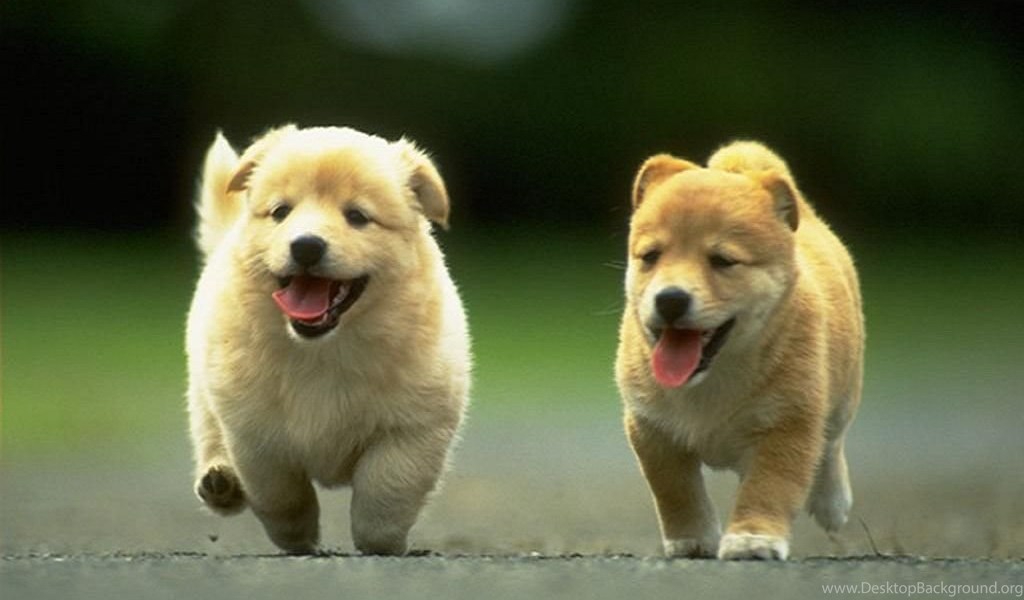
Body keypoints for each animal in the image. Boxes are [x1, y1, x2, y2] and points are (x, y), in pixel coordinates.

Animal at [185, 125, 471, 555]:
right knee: (208, 433)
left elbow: (386, 490)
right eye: (280, 212)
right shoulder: (254, 435)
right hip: (203, 391)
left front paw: (380, 542)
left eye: (357, 216)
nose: (305, 245)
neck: (322, 349)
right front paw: (297, 537)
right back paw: (221, 482)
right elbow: (281, 494)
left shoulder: (412, 430)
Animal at [615, 141, 863, 560]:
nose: (670, 299)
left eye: (723, 261)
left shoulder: (787, 424)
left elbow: (768, 488)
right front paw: (692, 538)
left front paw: (753, 538)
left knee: (831, 444)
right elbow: (674, 490)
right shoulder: (652, 429)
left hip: (843, 394)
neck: (712, 380)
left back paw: (832, 501)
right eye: (650, 256)